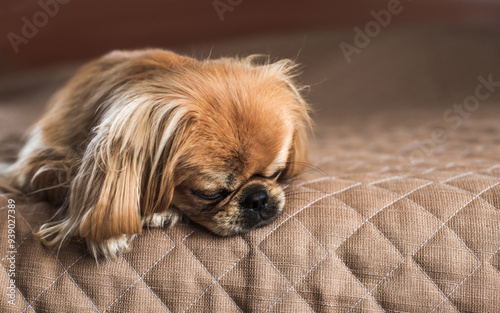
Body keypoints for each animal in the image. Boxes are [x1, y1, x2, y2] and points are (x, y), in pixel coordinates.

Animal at [0, 48, 310, 258]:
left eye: (276, 173)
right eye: (209, 194)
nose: (258, 199)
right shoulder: (34, 165)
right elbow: (70, 182)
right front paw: (111, 233)